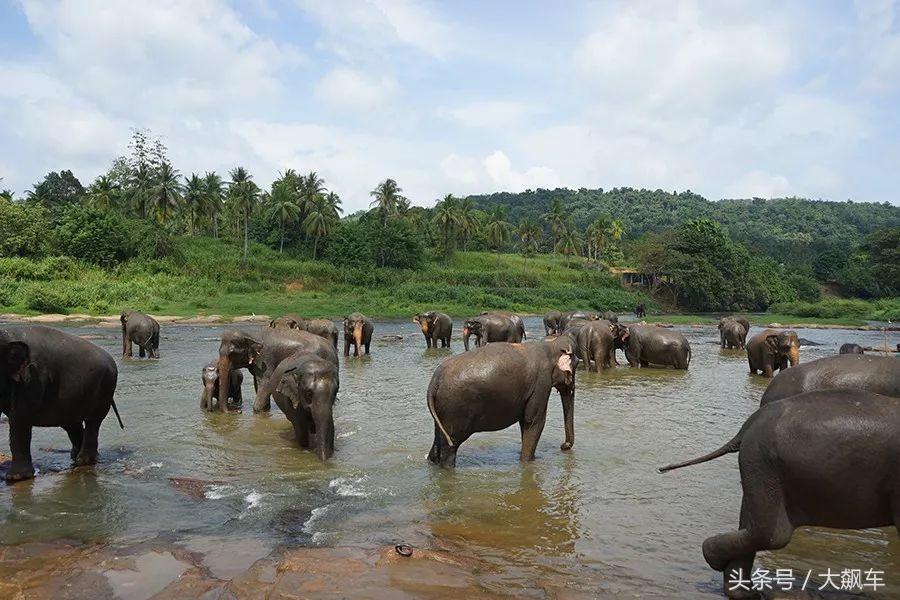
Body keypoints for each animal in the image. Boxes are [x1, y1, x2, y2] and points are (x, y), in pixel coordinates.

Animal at [0, 325, 122, 481]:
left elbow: (19, 417)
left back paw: (83, 461)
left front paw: (16, 478)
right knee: (71, 424)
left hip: (106, 386)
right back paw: (75, 457)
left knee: (93, 421)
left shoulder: (31, 378)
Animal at [426, 336, 577, 468]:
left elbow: (525, 422)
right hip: (455, 409)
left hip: (442, 409)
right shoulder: (541, 384)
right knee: (450, 446)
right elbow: (534, 421)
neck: (549, 345)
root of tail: (435, 380)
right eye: (575, 367)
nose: (563, 446)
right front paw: (527, 462)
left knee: (437, 440)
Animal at [658, 389, 900, 599]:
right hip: (763, 463)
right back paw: (714, 559)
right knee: (773, 534)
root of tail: (748, 425)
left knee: (756, 526)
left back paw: (742, 590)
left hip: (760, 466)